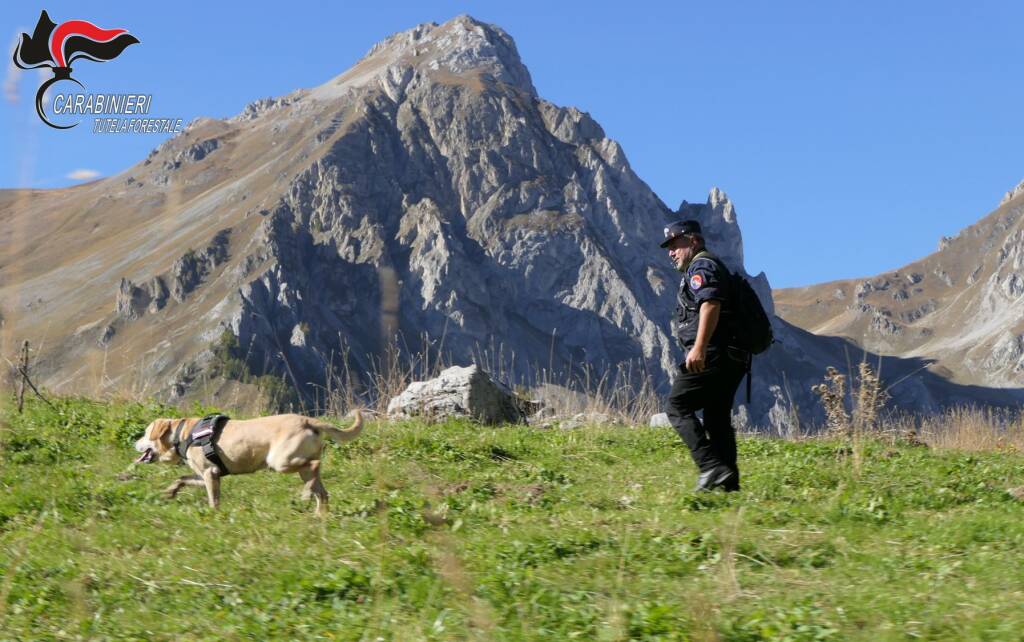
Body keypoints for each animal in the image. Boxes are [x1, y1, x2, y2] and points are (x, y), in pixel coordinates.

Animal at [134, 411, 362, 518]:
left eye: (145, 433)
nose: (135, 443)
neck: (182, 435)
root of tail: (309, 421)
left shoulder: (210, 473)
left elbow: (213, 499)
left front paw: (214, 514)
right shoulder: (205, 474)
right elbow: (181, 479)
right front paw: (170, 492)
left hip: (280, 460)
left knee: (314, 465)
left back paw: (306, 495)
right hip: (298, 467)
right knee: (321, 489)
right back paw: (319, 514)